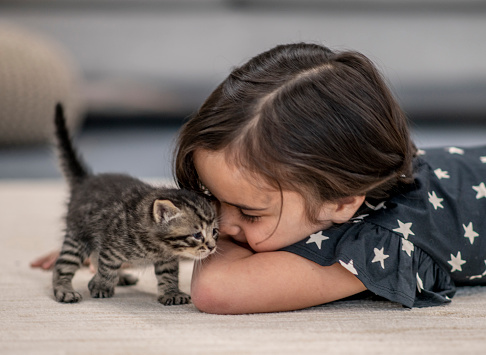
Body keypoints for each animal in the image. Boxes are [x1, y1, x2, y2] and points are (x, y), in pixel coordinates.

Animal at [52, 103, 217, 306]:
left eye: (214, 232)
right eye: (197, 235)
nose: (212, 247)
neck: (156, 245)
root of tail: (86, 180)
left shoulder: (167, 259)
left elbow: (169, 275)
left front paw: (171, 292)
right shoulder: (111, 247)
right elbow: (107, 268)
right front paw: (101, 286)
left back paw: (121, 277)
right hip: (78, 237)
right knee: (63, 265)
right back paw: (64, 290)